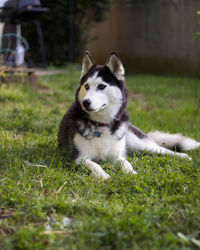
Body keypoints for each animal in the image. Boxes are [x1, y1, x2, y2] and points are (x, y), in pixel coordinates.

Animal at [57, 51, 200, 180]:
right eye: (86, 86)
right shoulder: (78, 158)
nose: (85, 102)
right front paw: (103, 175)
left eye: (101, 86)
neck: (100, 124)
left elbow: (126, 163)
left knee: (161, 149)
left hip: (140, 144)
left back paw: (183, 156)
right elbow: (94, 164)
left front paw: (131, 173)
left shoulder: (117, 156)